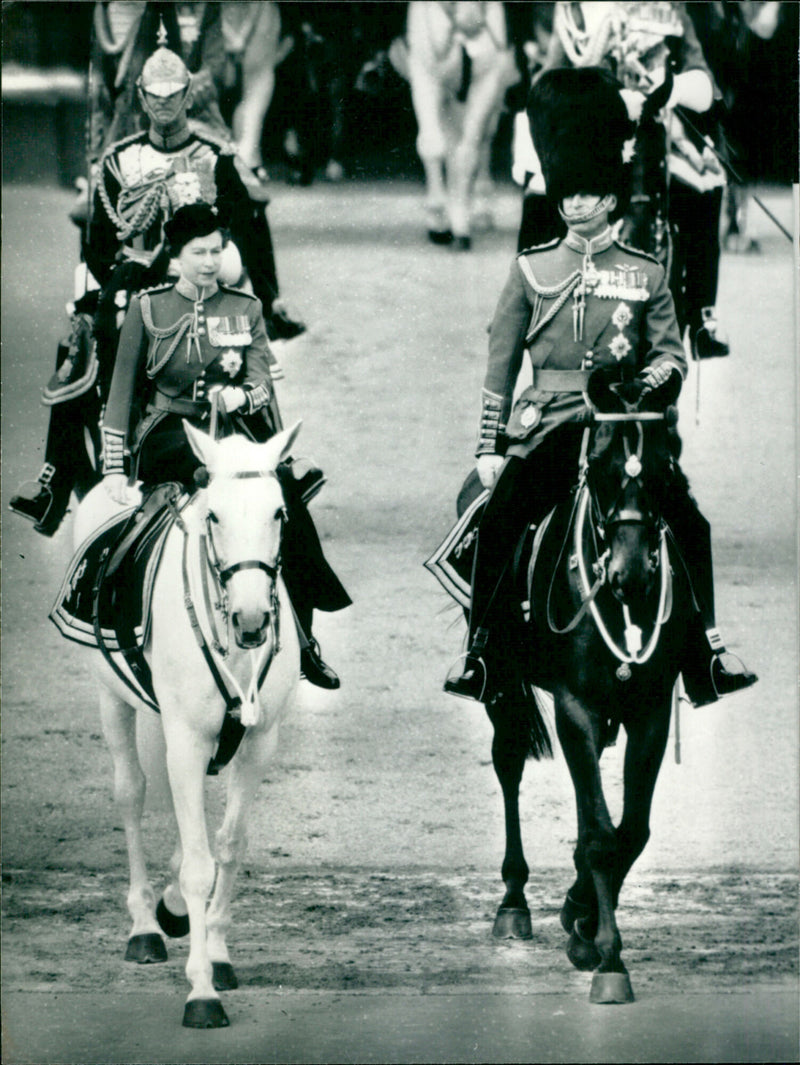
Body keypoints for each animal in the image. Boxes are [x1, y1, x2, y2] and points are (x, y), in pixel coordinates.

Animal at [71, 419, 302, 1026]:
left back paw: (171, 908)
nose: (252, 619)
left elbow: (229, 845)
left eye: (279, 512)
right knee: (131, 793)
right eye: (214, 515)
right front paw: (201, 990)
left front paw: (217, 955)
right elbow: (200, 862)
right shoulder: (188, 738)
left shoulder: (258, 742)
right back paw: (145, 927)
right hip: (113, 699)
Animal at [400, 1, 519, 249]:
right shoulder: (426, 78)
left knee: (482, 144)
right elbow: (433, 147)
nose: (469, 23)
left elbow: (468, 154)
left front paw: (461, 225)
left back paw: (479, 211)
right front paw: (438, 222)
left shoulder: (486, 83)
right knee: (450, 143)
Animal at [481, 372, 694, 996]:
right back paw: (513, 901)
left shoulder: (648, 710)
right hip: (503, 682)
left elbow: (630, 831)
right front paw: (605, 954)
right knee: (509, 761)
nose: (631, 576)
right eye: (598, 465)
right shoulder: (574, 704)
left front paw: (581, 916)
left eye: (663, 465)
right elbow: (602, 834)